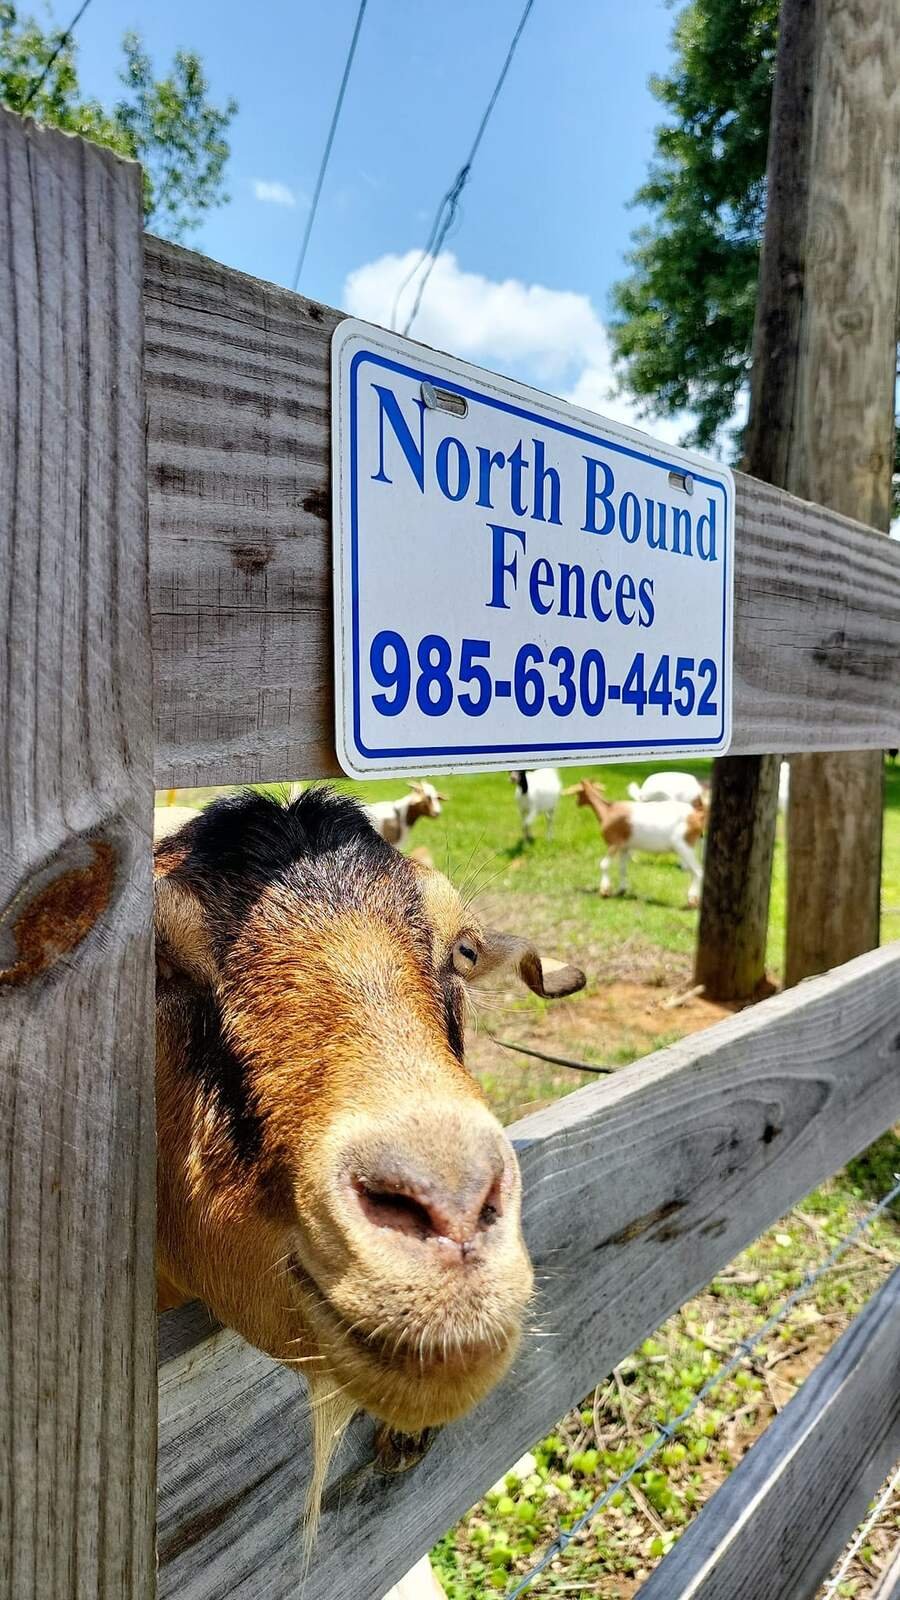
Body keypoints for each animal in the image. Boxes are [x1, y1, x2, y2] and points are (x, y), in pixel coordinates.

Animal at [564, 779, 706, 906]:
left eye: (578, 792)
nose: (576, 803)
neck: (608, 810)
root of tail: (697, 815)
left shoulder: (614, 844)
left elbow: (604, 864)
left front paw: (604, 892)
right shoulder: (624, 847)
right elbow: (622, 868)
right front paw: (621, 890)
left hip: (684, 847)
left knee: (698, 872)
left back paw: (692, 900)